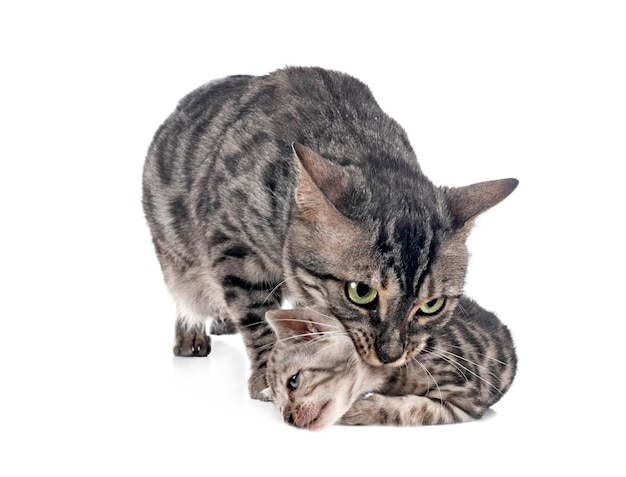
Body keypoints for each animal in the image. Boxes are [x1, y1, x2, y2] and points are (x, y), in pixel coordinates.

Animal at [141, 64, 516, 398]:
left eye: (432, 305)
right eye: (361, 293)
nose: (391, 355)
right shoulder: (237, 251)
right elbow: (258, 318)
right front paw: (268, 373)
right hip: (174, 251)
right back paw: (192, 332)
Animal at [266, 302, 516, 428]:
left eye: (293, 382)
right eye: (278, 405)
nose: (287, 420)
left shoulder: (466, 398)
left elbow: (412, 409)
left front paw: (358, 410)